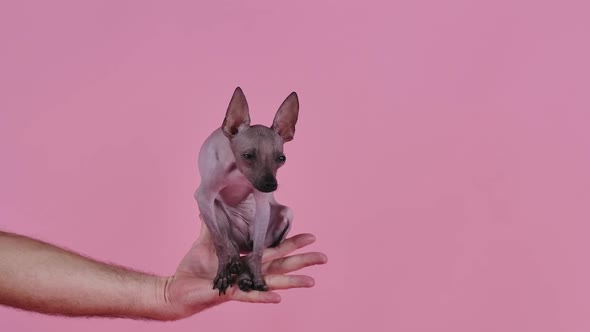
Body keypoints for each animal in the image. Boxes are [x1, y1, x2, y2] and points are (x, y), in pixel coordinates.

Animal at [197, 87, 300, 294]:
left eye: (281, 158)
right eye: (248, 156)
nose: (271, 185)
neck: (238, 173)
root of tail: (245, 242)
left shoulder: (262, 205)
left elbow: (258, 253)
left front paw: (256, 277)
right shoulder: (203, 198)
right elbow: (220, 244)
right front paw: (222, 273)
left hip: (283, 215)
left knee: (252, 253)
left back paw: (244, 275)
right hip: (215, 211)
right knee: (232, 245)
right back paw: (235, 263)